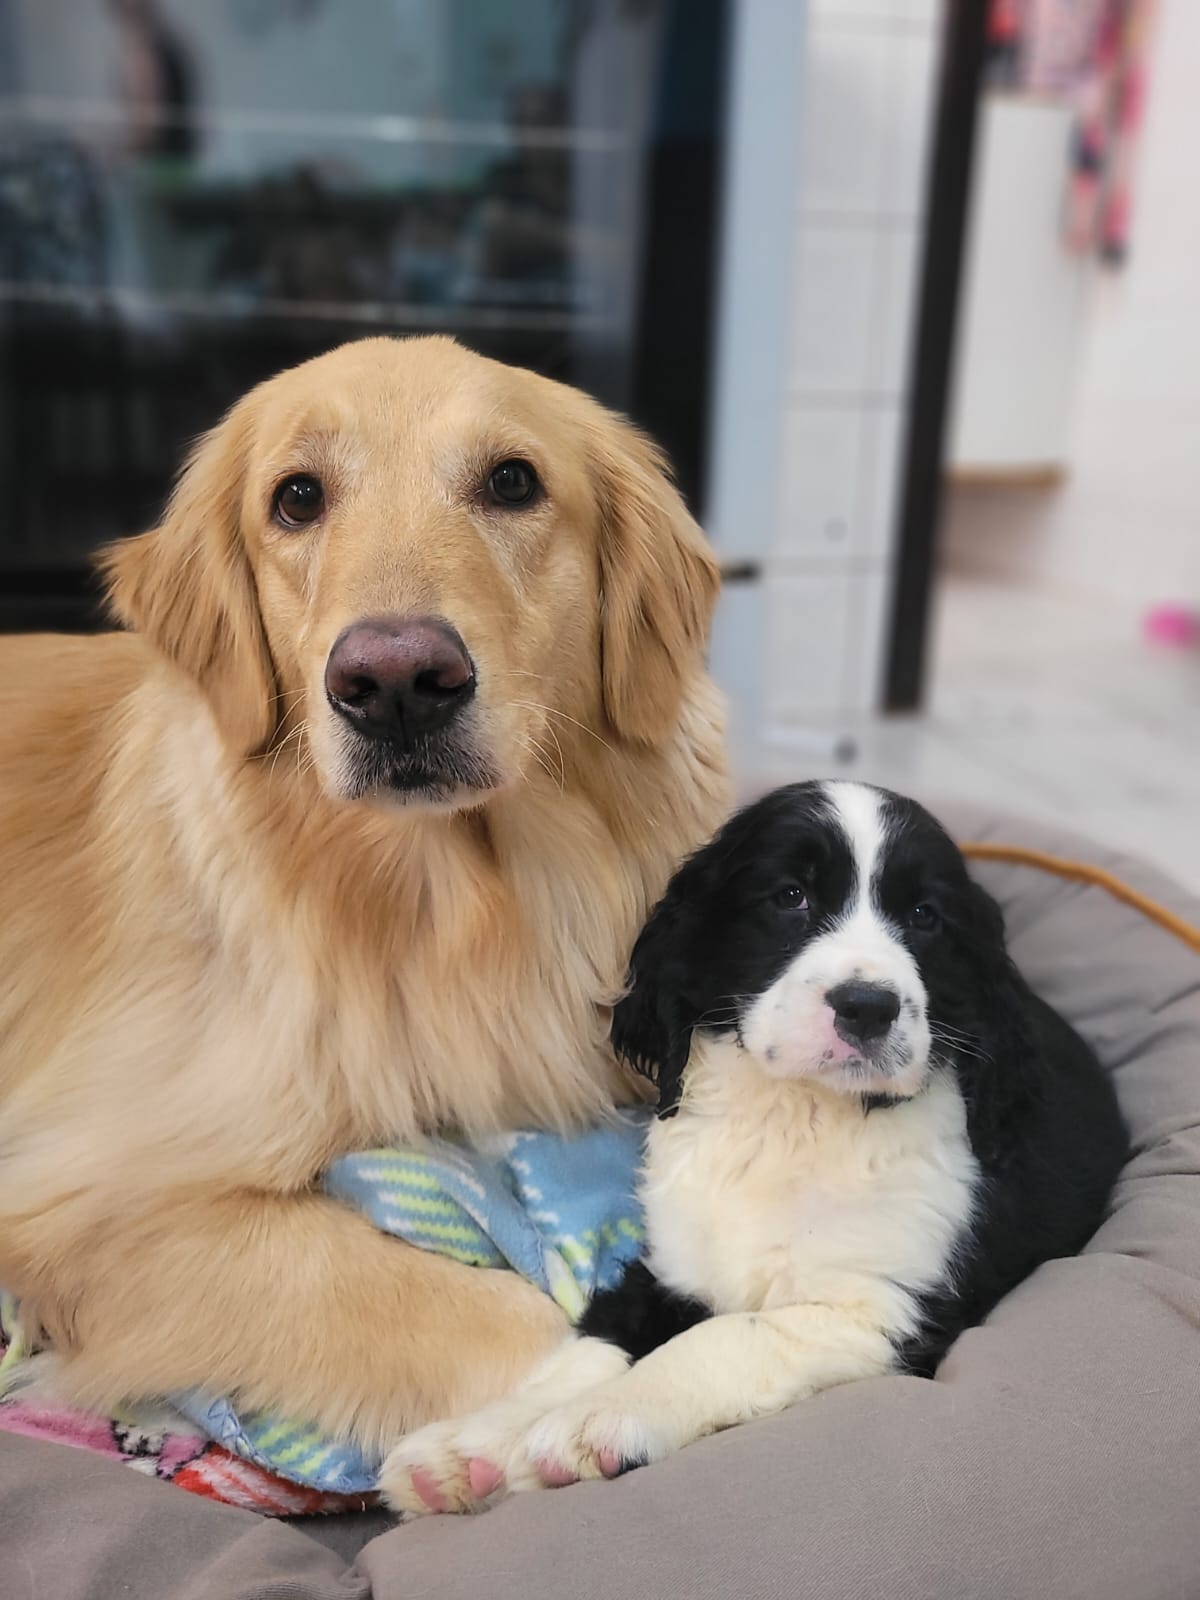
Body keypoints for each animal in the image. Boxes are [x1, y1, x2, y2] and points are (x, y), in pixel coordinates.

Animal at [0, 334, 732, 1452]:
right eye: (297, 498)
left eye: (512, 481)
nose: (394, 682)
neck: (451, 898)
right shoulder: (86, 1190)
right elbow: (415, 1293)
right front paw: (563, 1397)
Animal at [385, 780, 1126, 1504]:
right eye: (790, 896)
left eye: (924, 916)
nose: (867, 1007)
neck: (793, 1116)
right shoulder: (673, 1266)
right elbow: (599, 1338)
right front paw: (469, 1446)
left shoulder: (883, 1310)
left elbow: (728, 1333)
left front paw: (597, 1420)